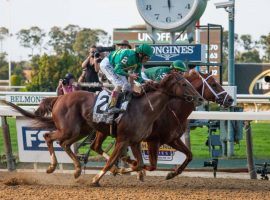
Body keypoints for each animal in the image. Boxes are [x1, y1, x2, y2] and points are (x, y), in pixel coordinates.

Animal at [1, 72, 201, 187]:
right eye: (184, 84)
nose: (199, 98)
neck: (146, 108)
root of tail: (58, 98)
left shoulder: (136, 141)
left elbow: (140, 163)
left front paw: (128, 169)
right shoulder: (127, 139)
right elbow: (113, 161)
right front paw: (97, 179)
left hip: (82, 130)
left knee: (66, 144)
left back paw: (76, 169)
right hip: (70, 129)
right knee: (49, 137)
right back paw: (52, 167)